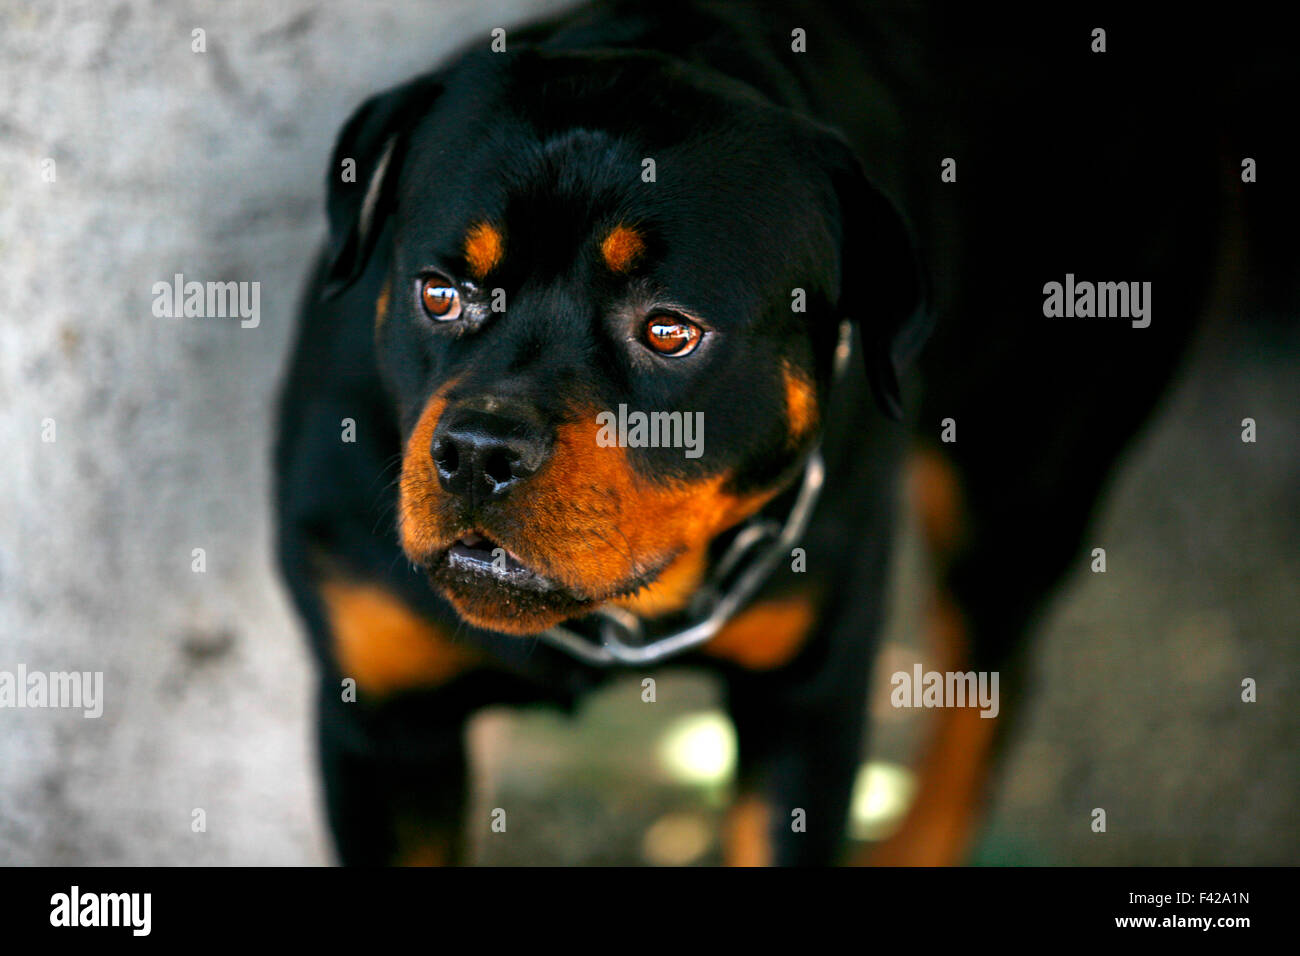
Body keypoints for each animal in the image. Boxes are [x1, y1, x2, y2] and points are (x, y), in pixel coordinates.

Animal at [271, 1, 1258, 868]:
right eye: (441, 292)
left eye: (670, 331)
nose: (478, 453)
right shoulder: (380, 722)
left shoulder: (811, 698)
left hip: (1022, 474)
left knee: (991, 679)